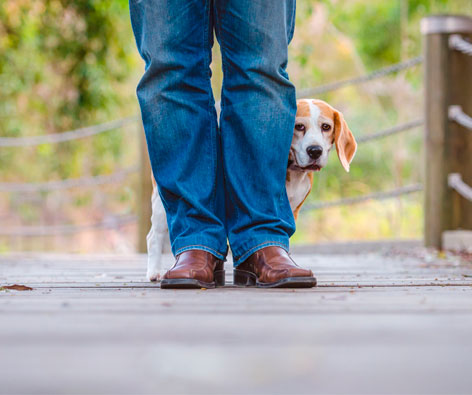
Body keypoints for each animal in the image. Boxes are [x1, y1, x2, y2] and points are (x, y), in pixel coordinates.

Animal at [146, 98, 356, 282]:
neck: (292, 171)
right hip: (161, 206)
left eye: (326, 127)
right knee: (153, 237)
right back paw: (154, 271)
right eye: (299, 127)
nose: (315, 151)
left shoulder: (291, 211)